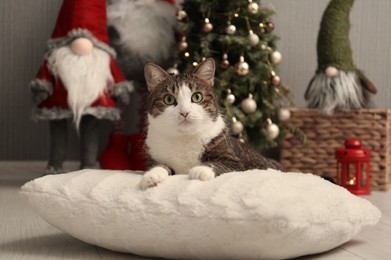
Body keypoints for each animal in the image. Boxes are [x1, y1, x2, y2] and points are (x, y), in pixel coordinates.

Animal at [139, 58, 284, 189]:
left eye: (197, 97)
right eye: (168, 99)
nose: (184, 112)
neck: (184, 138)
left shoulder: (236, 162)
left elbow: (219, 164)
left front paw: (200, 170)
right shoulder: (155, 155)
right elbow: (159, 165)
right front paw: (151, 176)